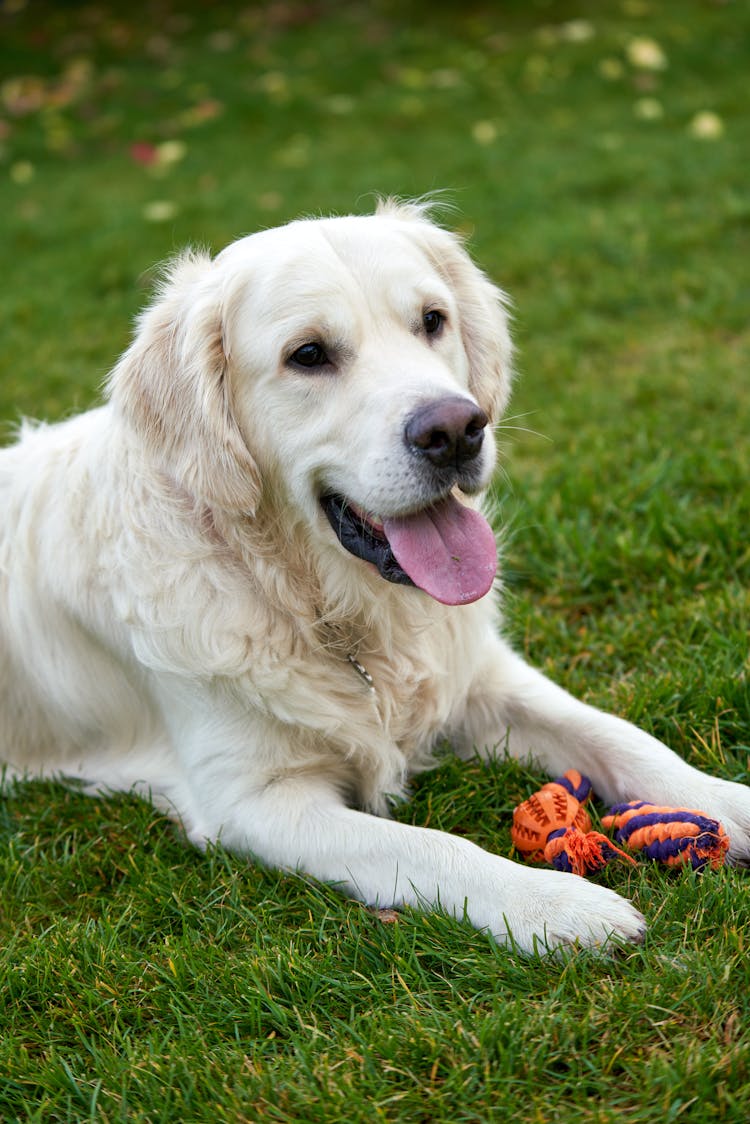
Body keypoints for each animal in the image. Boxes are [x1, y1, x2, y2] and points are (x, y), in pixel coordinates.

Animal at [2, 197, 746, 953]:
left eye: (432, 320)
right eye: (307, 354)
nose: (456, 430)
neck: (328, 606)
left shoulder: (481, 680)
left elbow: (617, 734)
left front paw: (727, 801)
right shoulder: (255, 799)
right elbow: (427, 845)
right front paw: (555, 905)